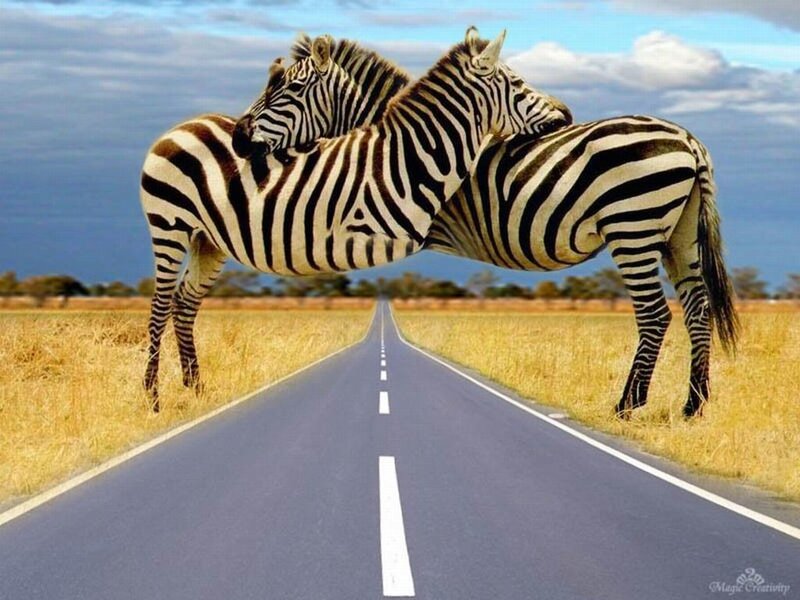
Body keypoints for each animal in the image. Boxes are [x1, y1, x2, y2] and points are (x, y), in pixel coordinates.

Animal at [139, 28, 572, 409]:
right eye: (517, 83)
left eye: (290, 88)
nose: (566, 115)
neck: (402, 155)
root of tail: (184, 124)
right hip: (170, 225)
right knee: (160, 305)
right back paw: (153, 398)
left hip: (207, 240)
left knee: (184, 302)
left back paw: (195, 389)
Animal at [244, 34, 739, 418]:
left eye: (288, 90)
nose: (241, 140)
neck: (402, 147)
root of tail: (687, 139)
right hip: (679, 235)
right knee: (696, 308)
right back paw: (693, 406)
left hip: (632, 226)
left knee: (654, 313)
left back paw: (628, 405)